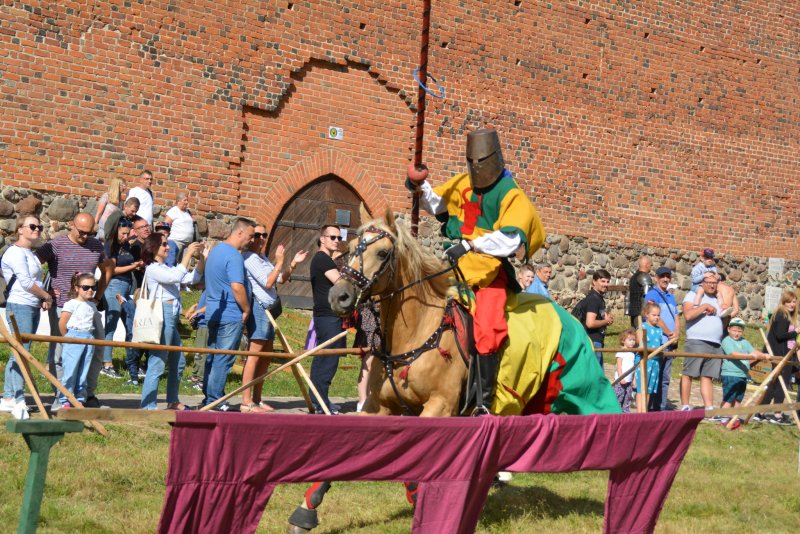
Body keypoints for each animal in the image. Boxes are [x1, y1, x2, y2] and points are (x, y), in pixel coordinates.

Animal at [288, 207, 620, 532]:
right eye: (351, 246)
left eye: (382, 253)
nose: (339, 297)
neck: (417, 331)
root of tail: (568, 316)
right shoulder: (378, 407)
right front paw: (306, 510)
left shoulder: (440, 406)